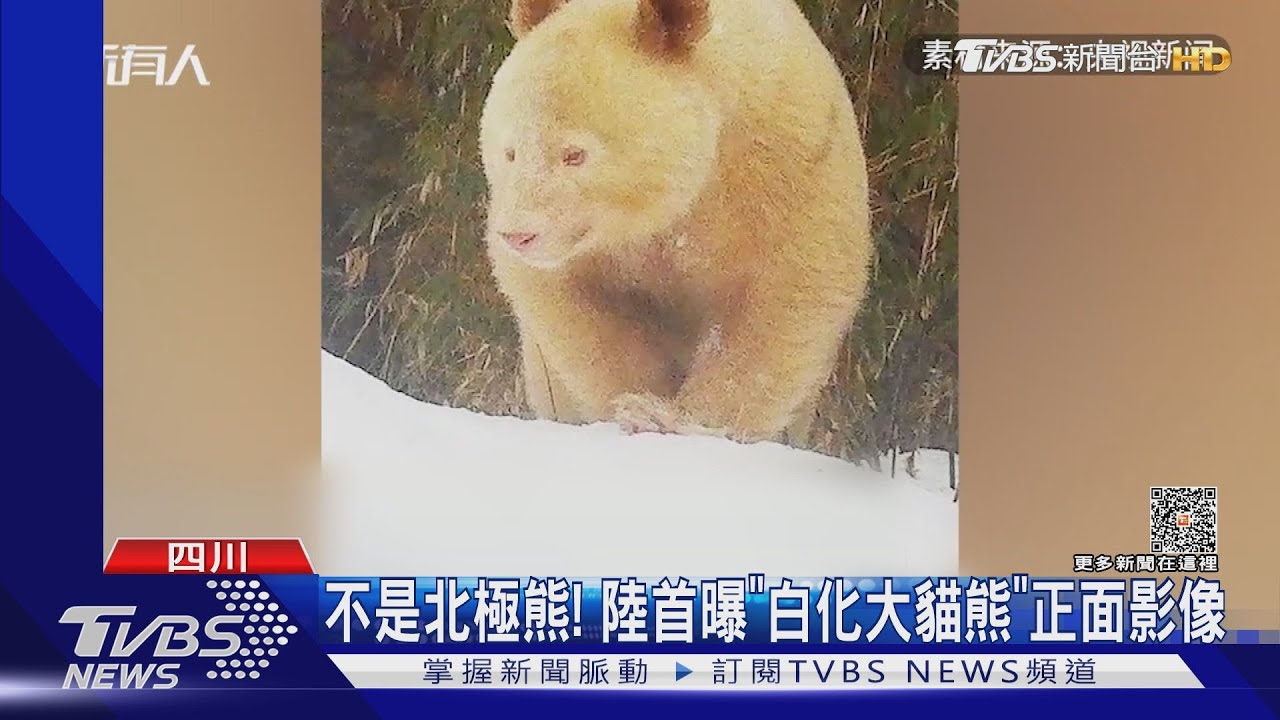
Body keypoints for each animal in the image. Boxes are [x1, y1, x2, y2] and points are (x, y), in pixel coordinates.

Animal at [479, 0, 872, 445]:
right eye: (510, 152)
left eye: (574, 154)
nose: (518, 234)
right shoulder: (587, 258)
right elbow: (580, 319)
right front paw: (637, 404)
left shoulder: (783, 168)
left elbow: (782, 304)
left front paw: (679, 418)